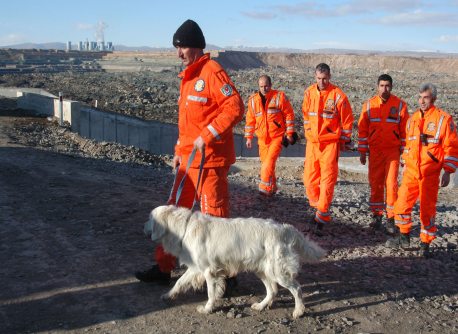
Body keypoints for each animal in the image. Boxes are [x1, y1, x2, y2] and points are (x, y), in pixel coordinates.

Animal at [144, 204, 326, 318]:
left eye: (150, 219)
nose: (143, 227)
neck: (185, 227)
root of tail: (285, 229)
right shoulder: (196, 268)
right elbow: (180, 282)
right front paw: (169, 295)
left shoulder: (210, 271)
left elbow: (211, 293)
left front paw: (207, 308)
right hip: (262, 270)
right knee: (273, 290)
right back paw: (261, 306)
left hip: (278, 271)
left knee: (297, 288)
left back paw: (299, 311)